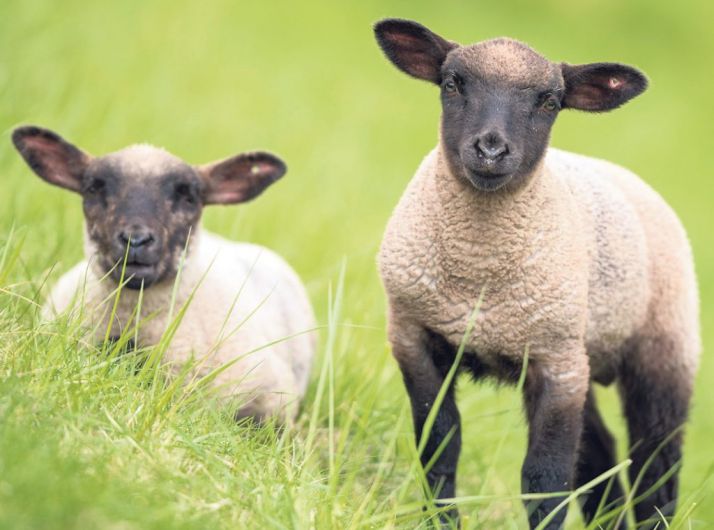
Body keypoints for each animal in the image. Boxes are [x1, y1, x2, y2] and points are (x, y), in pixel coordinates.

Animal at [376, 18, 700, 524]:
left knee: (656, 467)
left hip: (662, 347)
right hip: (585, 358)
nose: (491, 149)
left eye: (550, 101)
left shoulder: (555, 364)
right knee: (601, 458)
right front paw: (440, 521)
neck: (479, 277)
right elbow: (439, 448)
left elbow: (546, 478)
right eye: (451, 84)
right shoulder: (414, 338)